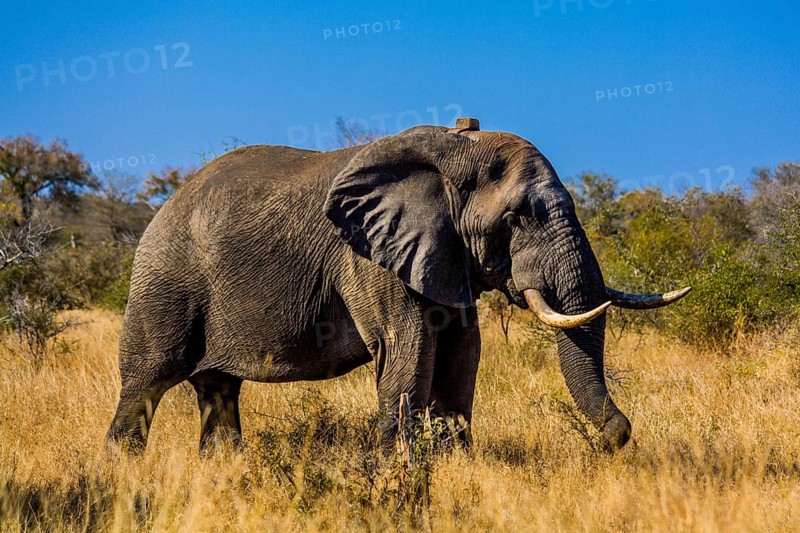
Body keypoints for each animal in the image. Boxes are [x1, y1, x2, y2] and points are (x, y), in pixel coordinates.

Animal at [106, 118, 689, 454]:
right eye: (518, 217)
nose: (619, 437)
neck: (454, 149)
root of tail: (165, 204)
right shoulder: (369, 257)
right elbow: (409, 351)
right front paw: (398, 472)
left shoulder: (445, 255)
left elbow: (462, 355)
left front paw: (454, 464)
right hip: (165, 282)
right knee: (146, 384)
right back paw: (123, 471)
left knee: (218, 392)